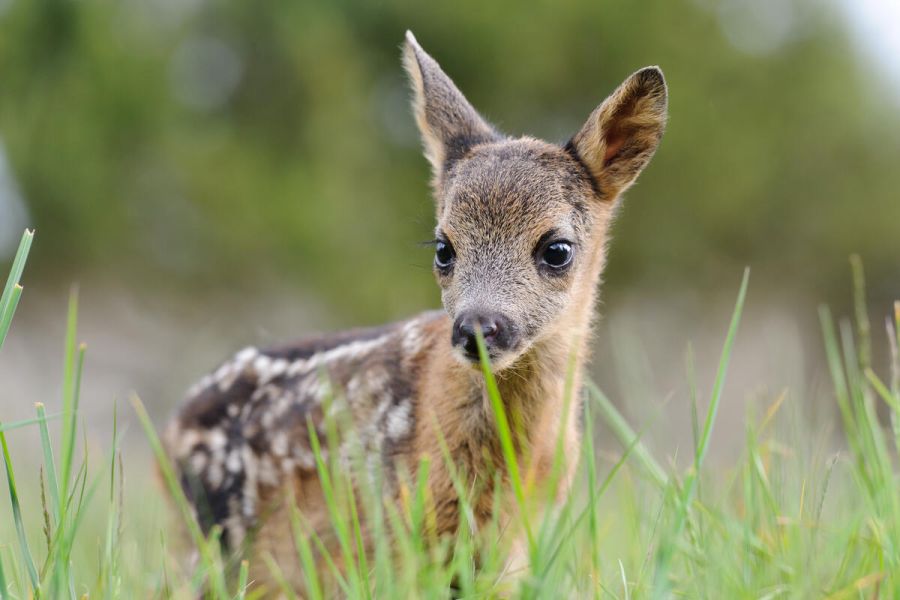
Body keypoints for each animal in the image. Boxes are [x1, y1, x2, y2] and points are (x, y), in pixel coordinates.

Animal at [165, 31, 664, 592]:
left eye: (557, 249)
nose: (476, 329)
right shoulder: (398, 536)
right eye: (443, 248)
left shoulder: (518, 546)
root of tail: (172, 426)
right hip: (212, 547)